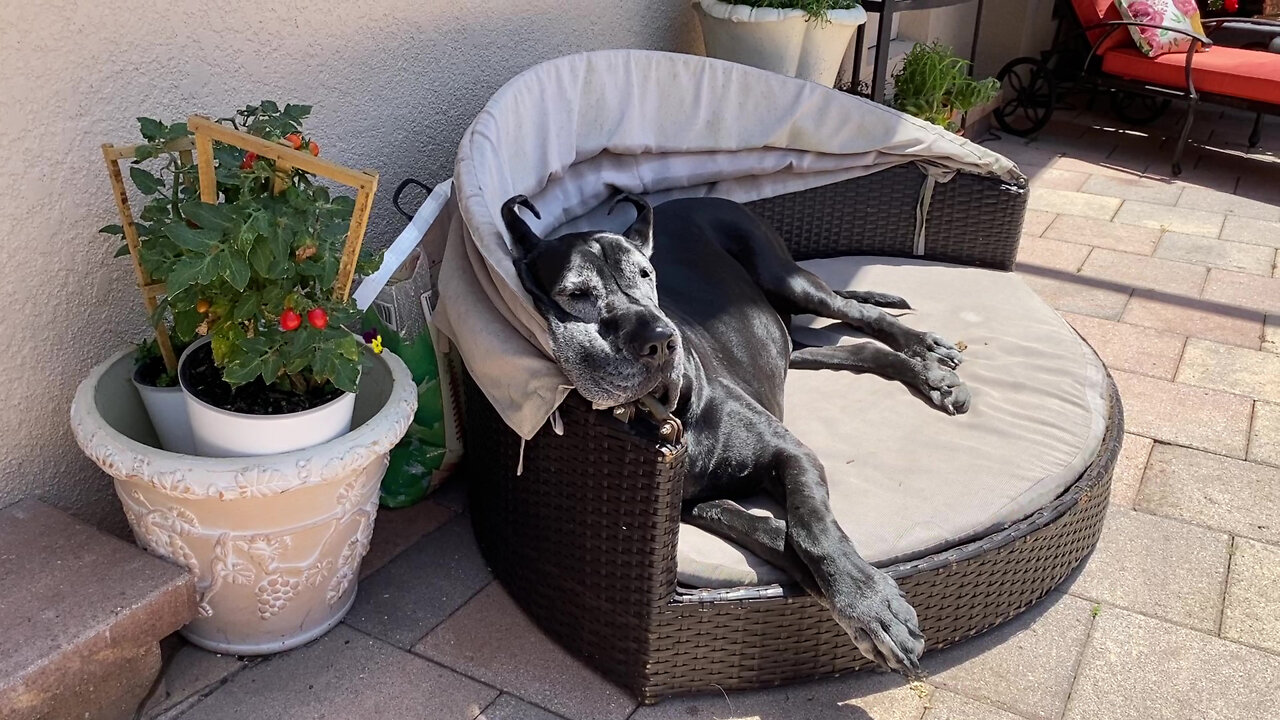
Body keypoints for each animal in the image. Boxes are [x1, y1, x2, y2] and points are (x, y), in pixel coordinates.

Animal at [499, 188, 967, 671]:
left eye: (647, 274)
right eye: (575, 293)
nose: (662, 340)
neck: (670, 413)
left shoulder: (792, 453)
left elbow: (812, 527)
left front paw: (868, 603)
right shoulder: (693, 504)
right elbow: (771, 533)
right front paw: (857, 594)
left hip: (788, 278)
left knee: (859, 312)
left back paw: (926, 353)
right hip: (789, 347)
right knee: (858, 351)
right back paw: (928, 375)